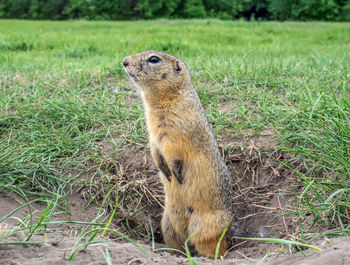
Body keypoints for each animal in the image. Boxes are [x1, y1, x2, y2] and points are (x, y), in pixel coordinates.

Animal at [122, 50, 232, 256]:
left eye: (154, 59)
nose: (124, 61)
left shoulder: (176, 132)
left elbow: (175, 152)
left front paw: (175, 172)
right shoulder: (153, 134)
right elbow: (154, 148)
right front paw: (164, 170)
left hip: (205, 227)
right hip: (167, 225)